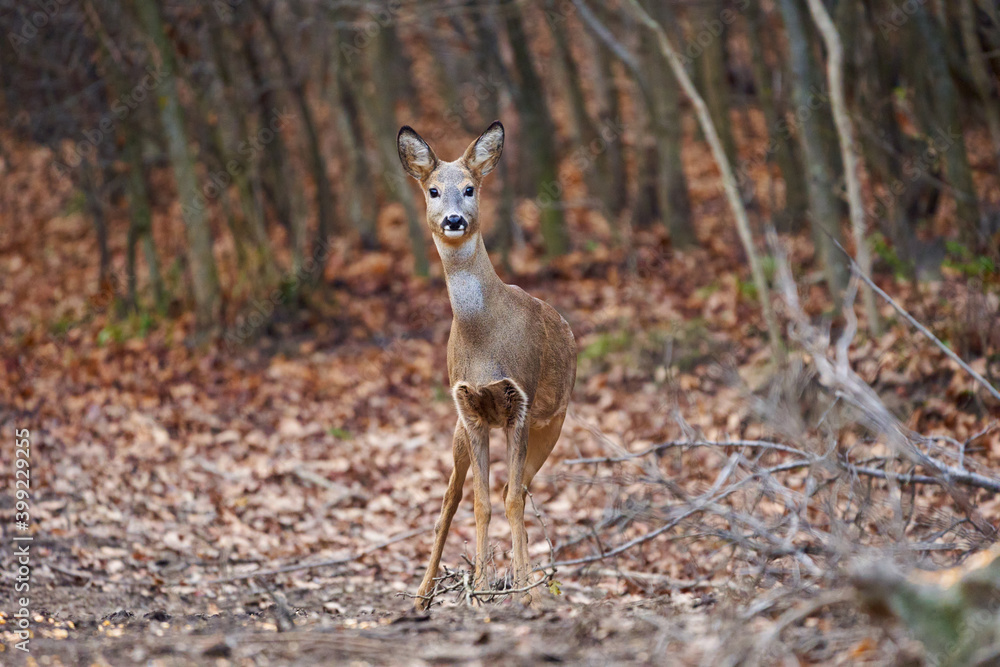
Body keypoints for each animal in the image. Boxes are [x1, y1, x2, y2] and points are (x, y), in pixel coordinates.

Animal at [397, 121, 576, 610]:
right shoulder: (469, 409)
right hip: (460, 430)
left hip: (553, 423)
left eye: (470, 188)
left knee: (521, 490)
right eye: (433, 190)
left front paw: (523, 592)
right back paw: (421, 597)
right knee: (450, 497)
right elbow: (480, 503)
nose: (454, 220)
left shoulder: (521, 404)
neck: (483, 338)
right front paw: (479, 587)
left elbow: (510, 499)